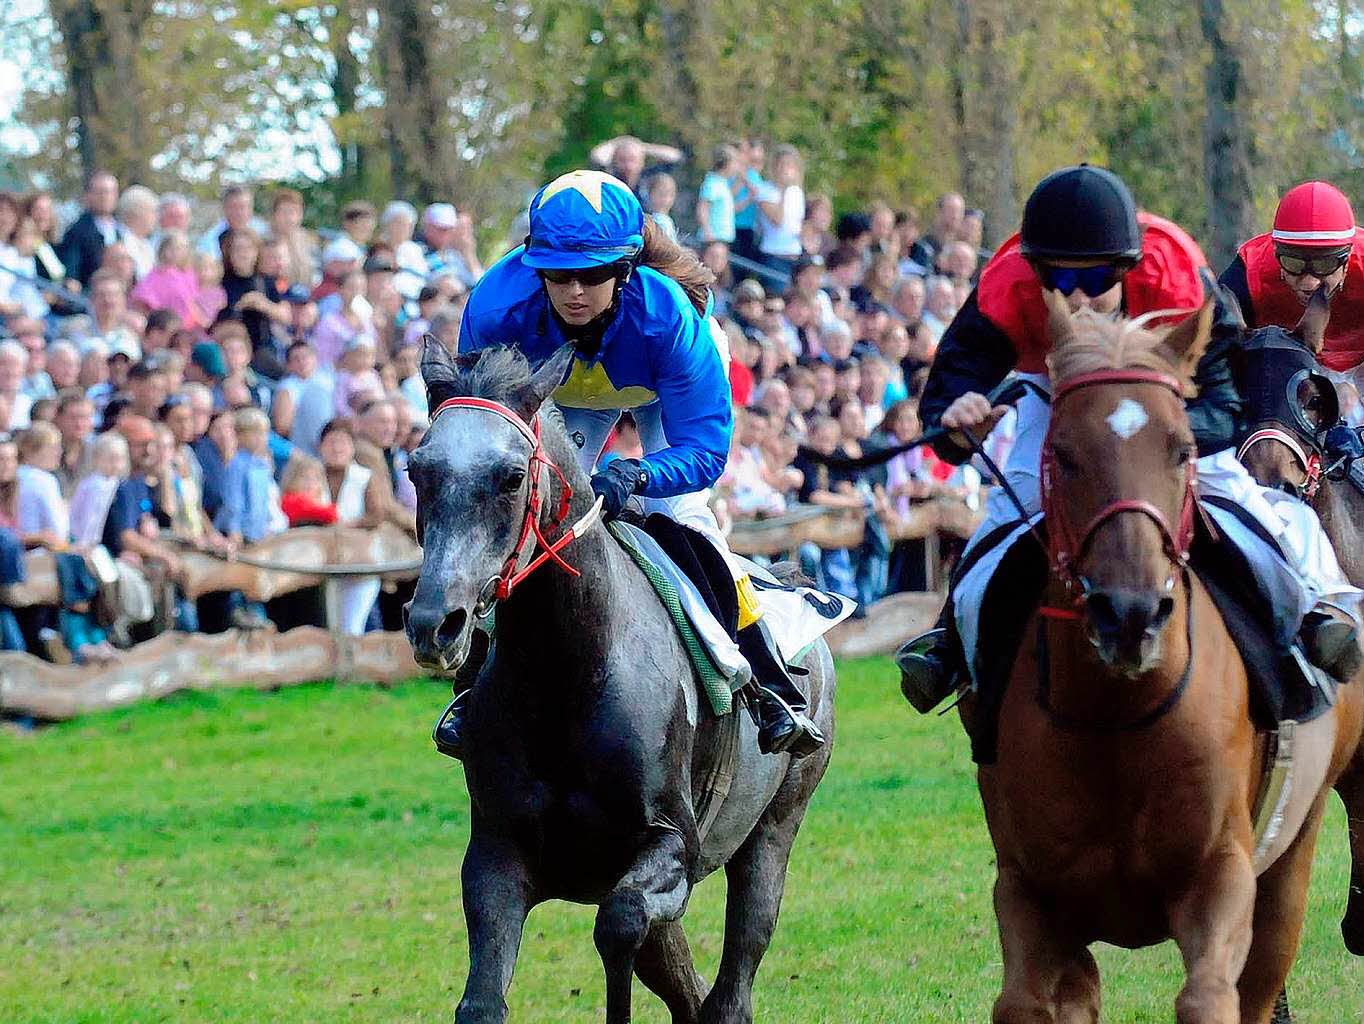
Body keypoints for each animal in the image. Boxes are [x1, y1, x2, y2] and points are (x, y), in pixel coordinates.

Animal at [398, 342, 834, 1024]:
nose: (433, 624)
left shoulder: (673, 848)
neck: (567, 675)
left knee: (736, 970)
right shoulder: (498, 853)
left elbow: (620, 924)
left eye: (512, 477)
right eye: (419, 472)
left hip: (776, 825)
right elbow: (482, 1000)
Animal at [976, 291, 1364, 1019]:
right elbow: (1028, 997)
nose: (1129, 612)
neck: (1115, 715)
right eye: (1063, 453)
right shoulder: (1031, 891)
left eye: (1314, 395)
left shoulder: (1225, 871)